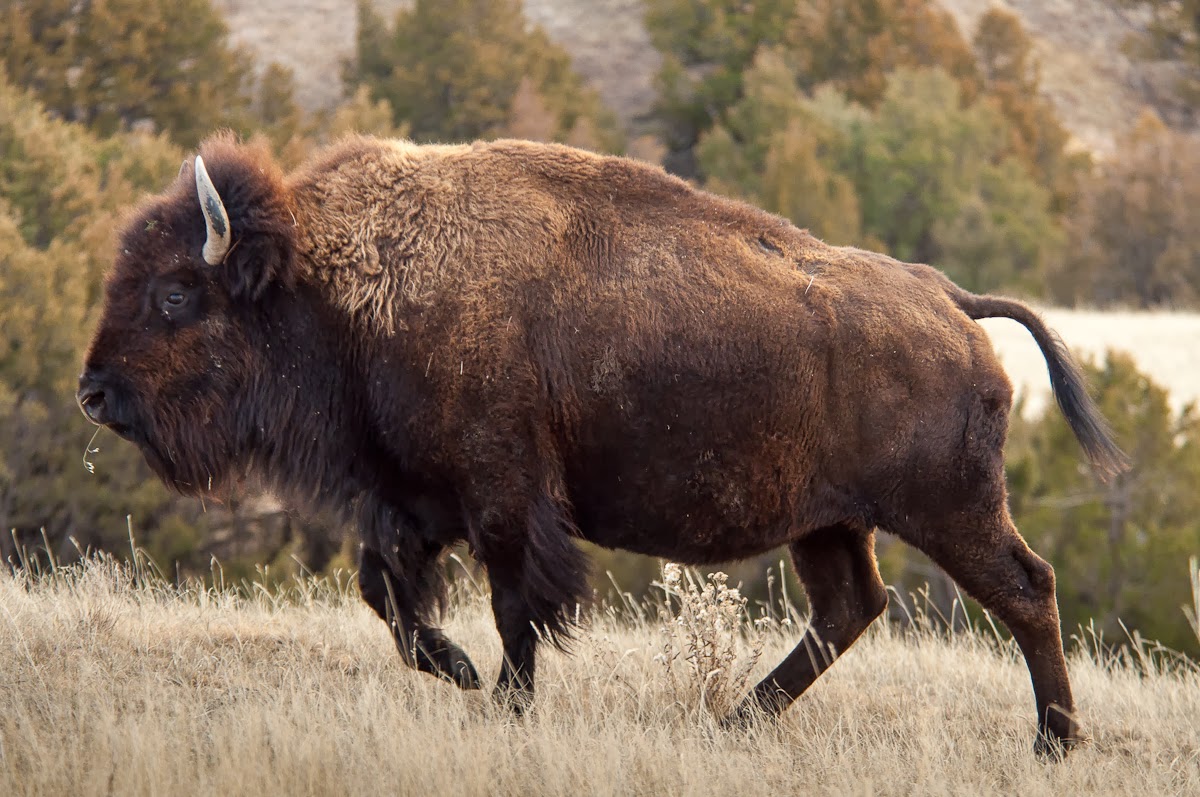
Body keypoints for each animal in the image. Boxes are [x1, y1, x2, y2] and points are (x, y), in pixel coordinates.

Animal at [78, 133, 1125, 757]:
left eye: (175, 292)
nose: (94, 393)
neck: (349, 280)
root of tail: (948, 298)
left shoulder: (503, 501)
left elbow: (515, 609)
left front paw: (502, 702)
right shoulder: (416, 500)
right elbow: (390, 597)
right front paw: (462, 673)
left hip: (950, 509)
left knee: (1025, 589)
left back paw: (1054, 742)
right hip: (829, 523)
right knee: (851, 606)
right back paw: (733, 723)